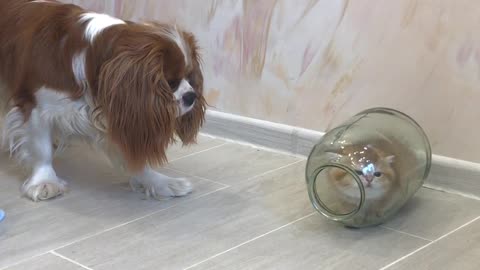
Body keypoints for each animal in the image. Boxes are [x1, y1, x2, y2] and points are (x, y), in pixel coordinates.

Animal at [0, 0, 204, 201]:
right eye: (170, 83)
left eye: (189, 77)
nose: (191, 96)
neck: (87, 56)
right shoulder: (35, 106)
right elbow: (42, 149)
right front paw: (44, 181)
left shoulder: (121, 111)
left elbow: (132, 154)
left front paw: (159, 182)